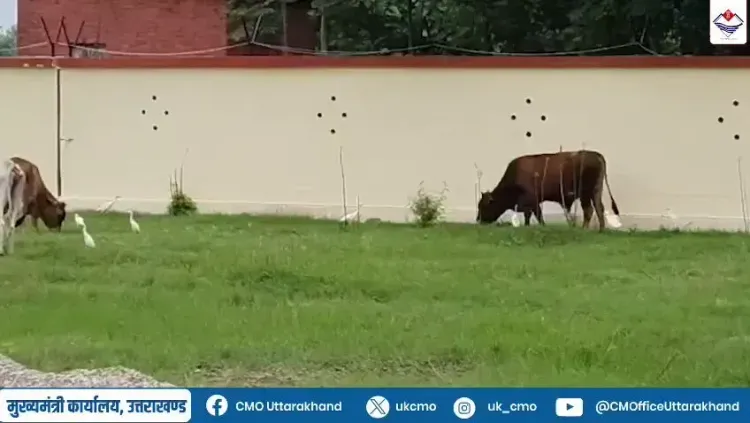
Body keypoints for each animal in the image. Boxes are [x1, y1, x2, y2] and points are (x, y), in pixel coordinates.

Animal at [476, 150, 620, 231]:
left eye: (484, 206)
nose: (479, 221)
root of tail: (597, 155)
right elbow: (531, 216)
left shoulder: (532, 202)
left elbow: (537, 216)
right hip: (595, 192)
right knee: (599, 208)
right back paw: (601, 229)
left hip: (585, 194)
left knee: (589, 210)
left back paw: (585, 229)